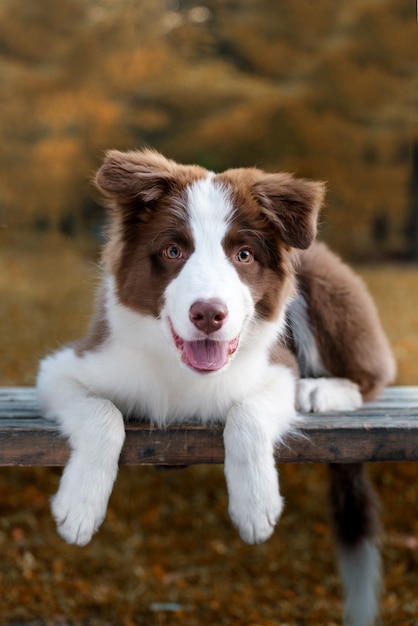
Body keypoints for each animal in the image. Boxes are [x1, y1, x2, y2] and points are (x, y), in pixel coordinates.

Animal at [36, 151, 396, 624]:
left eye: (243, 255)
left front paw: (255, 507)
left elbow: (247, 414)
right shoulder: (63, 369)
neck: (184, 371)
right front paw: (79, 508)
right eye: (174, 251)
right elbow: (103, 414)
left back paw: (321, 391)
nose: (209, 314)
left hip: (327, 288)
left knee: (373, 375)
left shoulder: (278, 368)